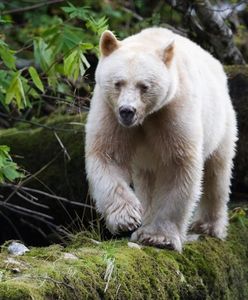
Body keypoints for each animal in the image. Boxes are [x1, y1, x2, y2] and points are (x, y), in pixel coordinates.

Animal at [85, 28, 236, 253]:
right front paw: (126, 218)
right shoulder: (109, 111)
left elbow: (177, 165)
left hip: (221, 122)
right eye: (118, 83)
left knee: (217, 172)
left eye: (144, 86)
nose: (127, 111)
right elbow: (108, 155)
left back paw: (208, 226)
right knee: (146, 181)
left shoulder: (173, 110)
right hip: (145, 160)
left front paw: (158, 237)